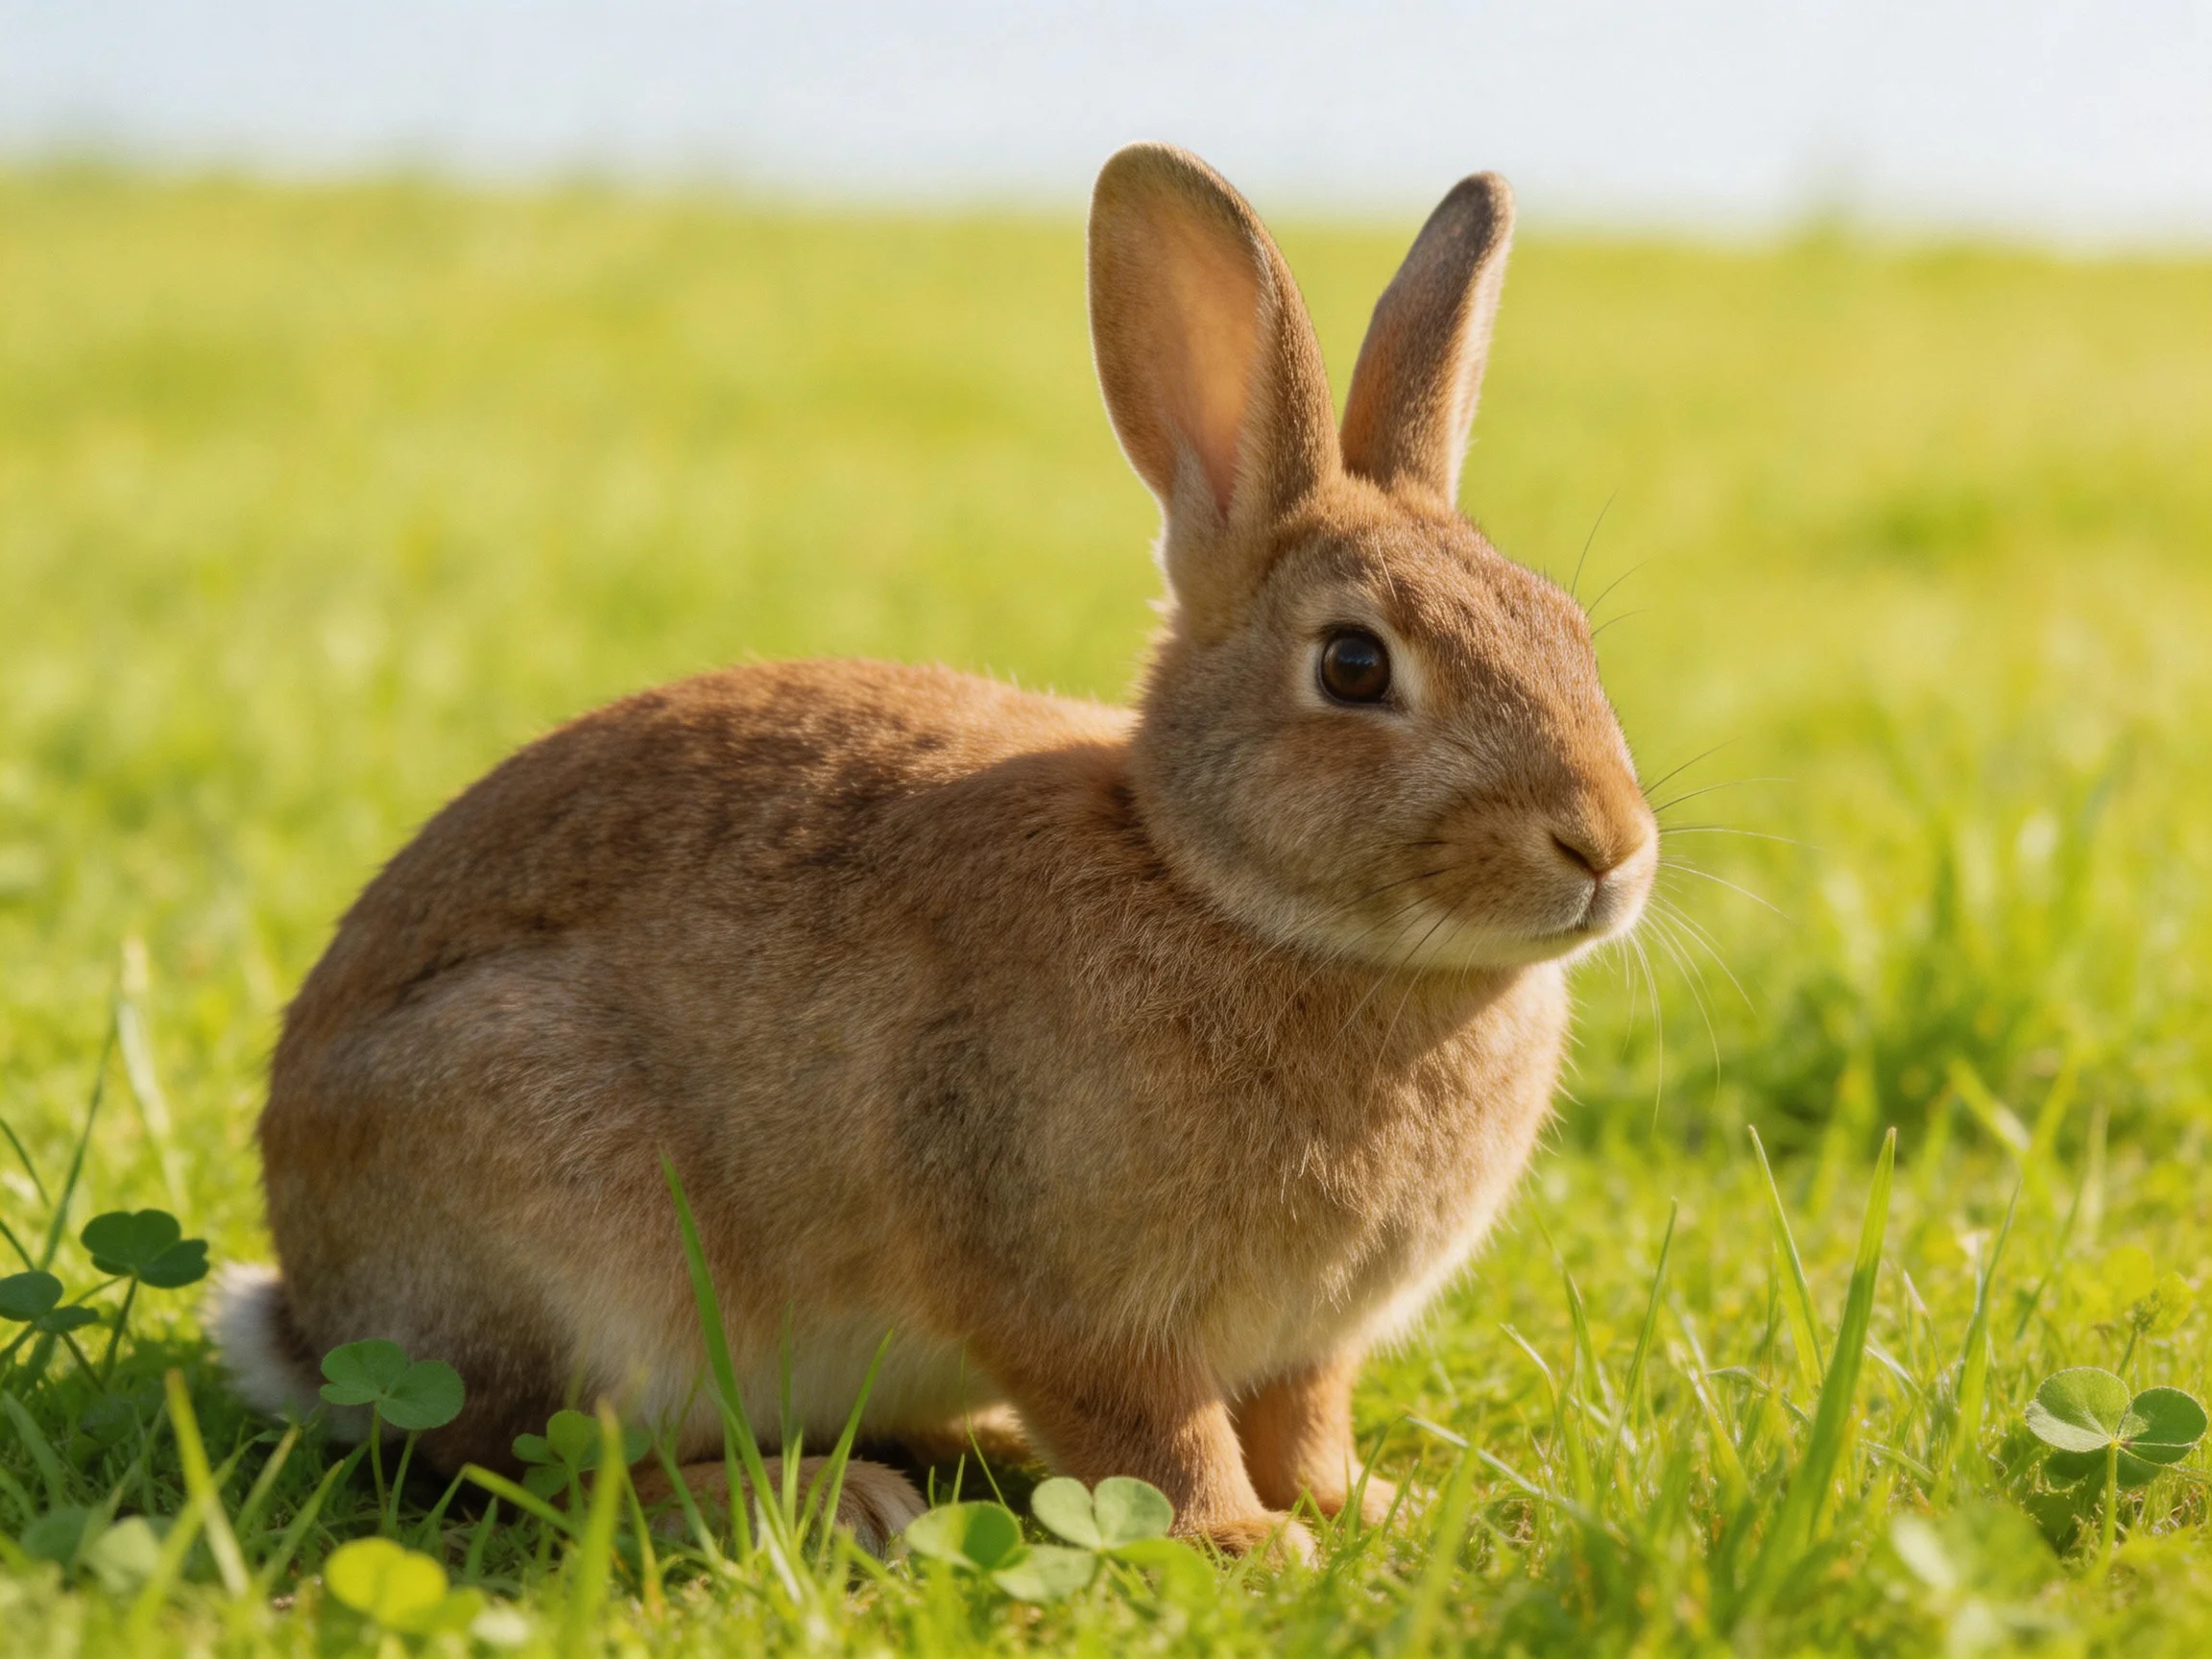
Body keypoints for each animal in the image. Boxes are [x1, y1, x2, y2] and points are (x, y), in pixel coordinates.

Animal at [210, 142, 1657, 1559]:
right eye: (1355, 666)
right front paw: (1239, 1547)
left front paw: (1370, 1512)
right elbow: (1157, 1433)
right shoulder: (1070, 1291)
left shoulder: (1310, 1342)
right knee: (545, 1461)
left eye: (1569, 628)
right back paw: (822, 1501)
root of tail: (314, 1310)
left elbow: (1304, 1425)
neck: (1212, 886)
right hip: (566, 1219)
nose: (1609, 848)